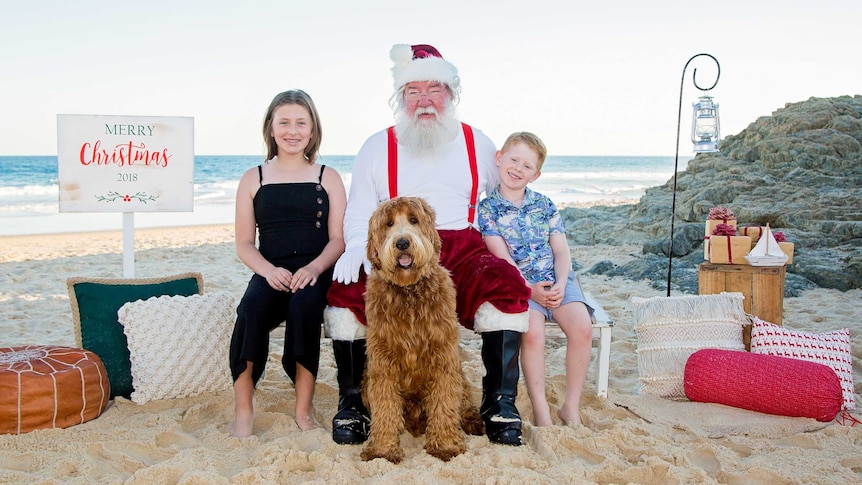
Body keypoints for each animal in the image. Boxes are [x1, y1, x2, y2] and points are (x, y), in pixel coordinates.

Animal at [362, 196, 486, 462]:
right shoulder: (382, 362)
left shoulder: (442, 357)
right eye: (388, 223)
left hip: (460, 377)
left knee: (463, 403)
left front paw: (446, 445)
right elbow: (385, 405)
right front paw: (382, 450)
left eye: (413, 220)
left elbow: (444, 403)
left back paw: (473, 422)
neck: (409, 291)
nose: (402, 242)